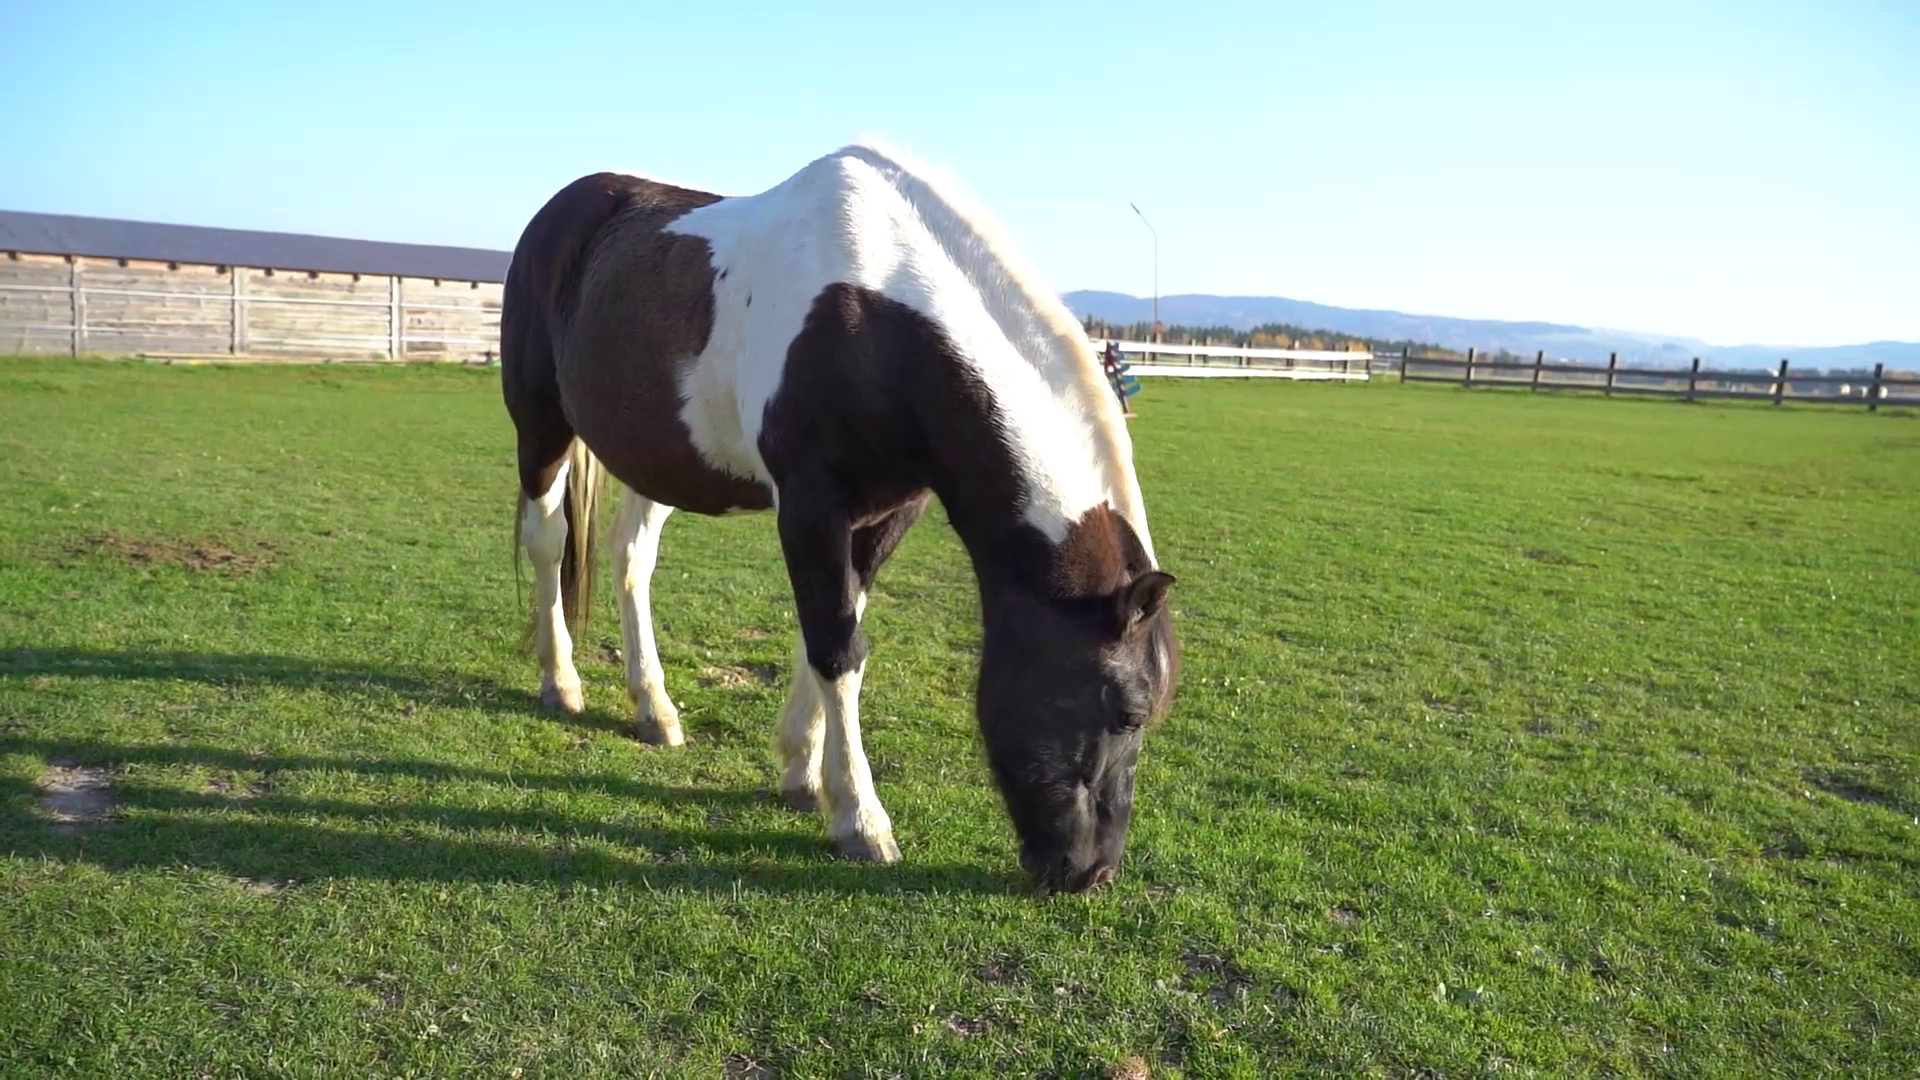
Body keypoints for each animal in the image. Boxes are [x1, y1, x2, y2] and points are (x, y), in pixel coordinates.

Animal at [500, 141, 1181, 894]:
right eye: (1126, 712)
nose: (1091, 872)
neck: (878, 321)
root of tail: (563, 210)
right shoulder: (810, 506)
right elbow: (836, 648)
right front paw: (860, 817)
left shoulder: (887, 512)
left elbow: (831, 628)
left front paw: (802, 771)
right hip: (541, 427)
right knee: (547, 542)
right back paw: (561, 682)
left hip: (655, 454)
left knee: (630, 562)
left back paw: (654, 707)